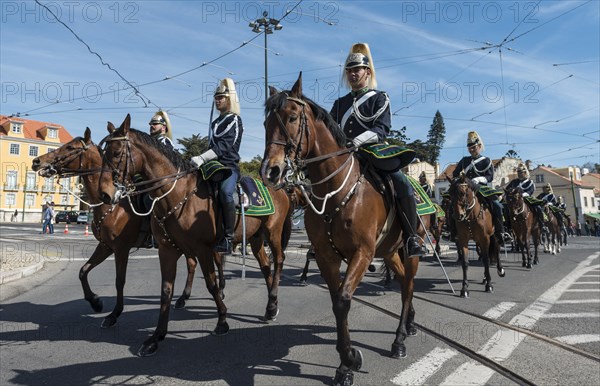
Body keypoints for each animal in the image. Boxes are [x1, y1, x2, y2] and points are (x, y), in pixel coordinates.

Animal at [30, 128, 219, 328]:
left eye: (70, 147)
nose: (37, 161)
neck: (112, 204)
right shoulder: (105, 246)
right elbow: (83, 271)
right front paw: (95, 302)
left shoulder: (121, 248)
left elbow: (119, 281)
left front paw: (114, 314)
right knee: (192, 264)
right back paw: (184, 298)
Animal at [97, 115, 294, 356]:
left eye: (116, 153)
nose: (105, 194)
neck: (177, 194)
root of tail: (278, 186)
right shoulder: (167, 250)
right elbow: (166, 290)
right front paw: (156, 337)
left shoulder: (203, 249)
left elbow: (211, 284)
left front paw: (222, 321)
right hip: (255, 239)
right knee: (266, 267)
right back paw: (270, 307)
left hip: (272, 233)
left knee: (279, 261)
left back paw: (273, 303)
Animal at [260, 73, 420, 386]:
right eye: (265, 123)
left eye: (293, 117)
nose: (270, 171)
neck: (337, 190)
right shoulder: (326, 255)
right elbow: (336, 302)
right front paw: (346, 363)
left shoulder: (363, 253)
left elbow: (344, 300)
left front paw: (350, 359)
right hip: (390, 251)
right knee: (403, 282)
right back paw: (408, 324)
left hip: (411, 251)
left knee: (408, 286)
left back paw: (399, 341)